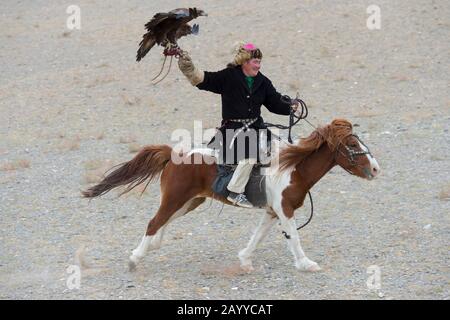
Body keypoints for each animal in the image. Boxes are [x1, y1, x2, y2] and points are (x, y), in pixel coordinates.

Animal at [81, 119, 380, 272]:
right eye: (352, 144)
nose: (376, 168)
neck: (292, 167)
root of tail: (174, 153)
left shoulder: (273, 211)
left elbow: (258, 236)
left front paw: (245, 260)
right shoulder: (284, 210)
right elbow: (294, 238)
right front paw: (306, 263)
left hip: (190, 202)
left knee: (163, 221)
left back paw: (153, 246)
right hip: (176, 198)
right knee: (154, 221)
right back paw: (134, 258)